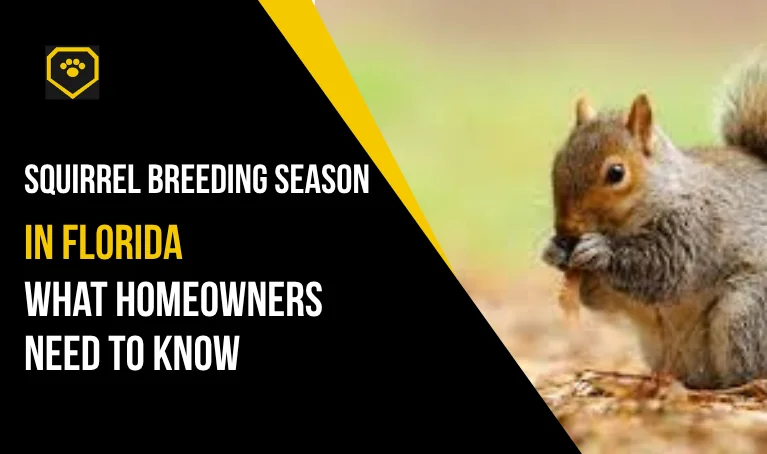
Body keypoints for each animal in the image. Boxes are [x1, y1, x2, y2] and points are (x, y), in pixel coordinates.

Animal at [541, 46, 767, 390]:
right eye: (557, 162)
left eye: (616, 173)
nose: (565, 232)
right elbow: (598, 298)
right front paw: (553, 251)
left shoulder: (694, 227)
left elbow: (663, 267)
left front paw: (599, 251)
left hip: (746, 312)